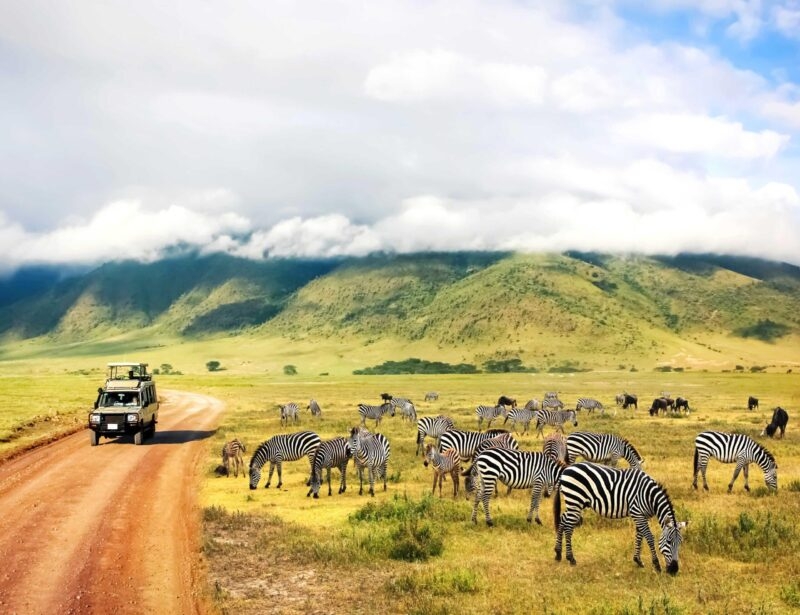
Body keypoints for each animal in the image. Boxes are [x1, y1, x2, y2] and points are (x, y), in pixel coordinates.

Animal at [554, 462, 686, 574]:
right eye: (669, 542)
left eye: (680, 542)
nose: (674, 570)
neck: (649, 496)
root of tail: (566, 470)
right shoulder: (637, 513)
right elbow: (648, 537)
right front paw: (656, 565)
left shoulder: (642, 515)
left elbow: (639, 536)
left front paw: (638, 560)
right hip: (574, 500)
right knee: (568, 527)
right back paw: (571, 558)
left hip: (575, 503)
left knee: (563, 520)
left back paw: (558, 553)